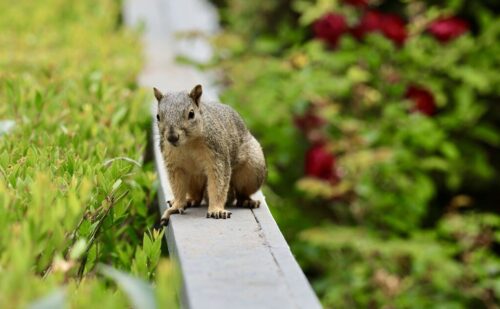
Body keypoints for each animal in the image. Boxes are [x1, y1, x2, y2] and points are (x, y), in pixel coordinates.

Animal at [154, 85, 268, 223]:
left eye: (191, 114)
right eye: (158, 116)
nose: (172, 137)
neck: (188, 143)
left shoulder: (217, 155)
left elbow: (218, 183)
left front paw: (216, 210)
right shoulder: (174, 164)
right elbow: (177, 186)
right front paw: (177, 205)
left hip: (253, 170)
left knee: (241, 192)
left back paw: (247, 201)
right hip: (194, 177)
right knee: (197, 196)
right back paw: (189, 200)